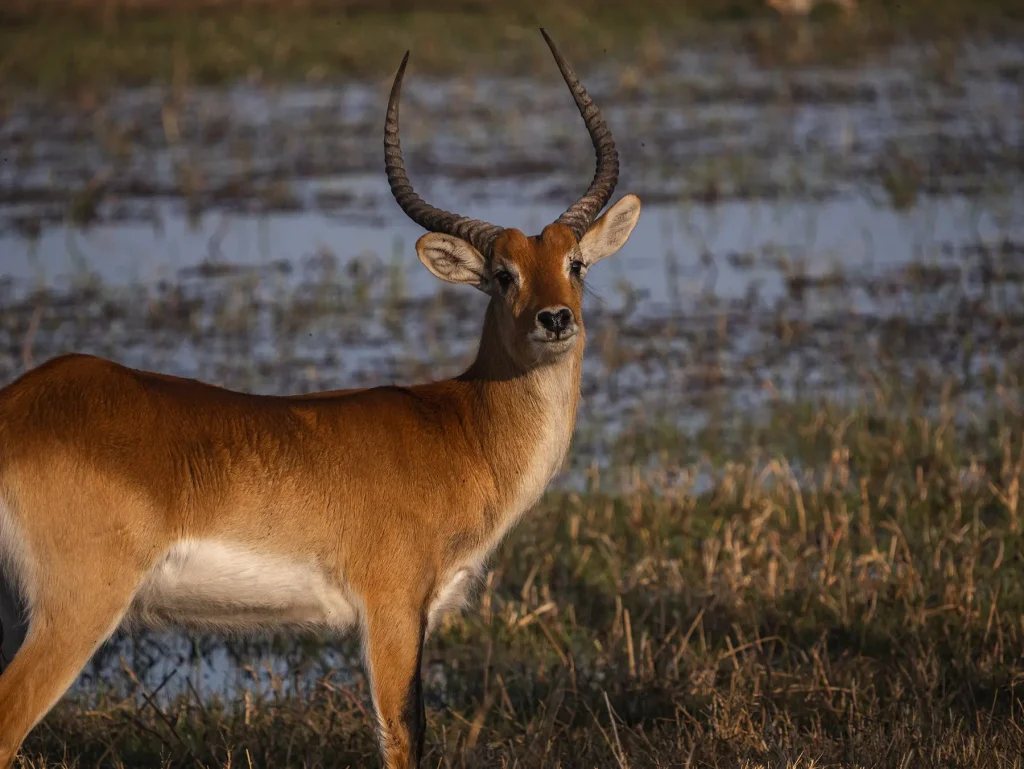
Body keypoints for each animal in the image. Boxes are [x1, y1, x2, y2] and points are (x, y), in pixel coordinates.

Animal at [0, 27, 638, 765]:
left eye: (575, 263)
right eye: (503, 274)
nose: (555, 319)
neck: (460, 428)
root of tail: (16, 405)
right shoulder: (392, 607)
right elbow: (404, 735)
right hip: (75, 609)